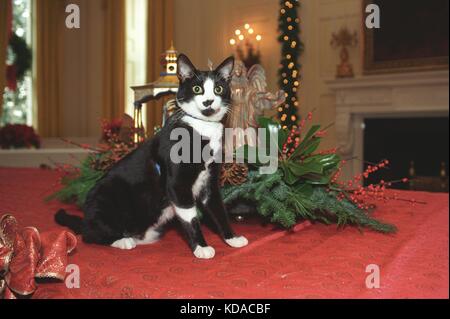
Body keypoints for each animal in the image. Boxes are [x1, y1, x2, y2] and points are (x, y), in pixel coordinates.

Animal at [55, 54, 250, 260]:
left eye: (218, 89)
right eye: (197, 89)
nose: (208, 102)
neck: (202, 128)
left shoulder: (210, 181)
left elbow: (219, 211)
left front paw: (232, 238)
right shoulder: (178, 184)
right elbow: (190, 218)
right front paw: (201, 247)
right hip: (106, 197)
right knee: (90, 234)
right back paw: (122, 240)